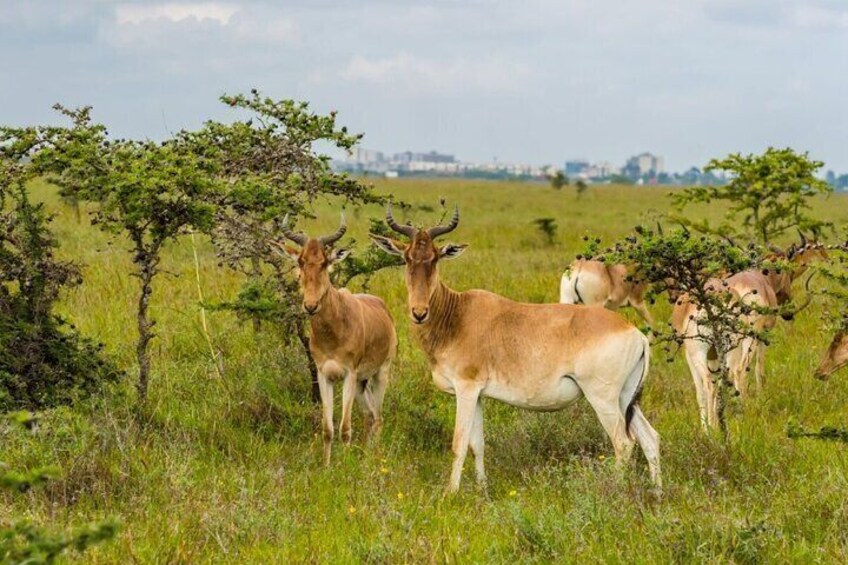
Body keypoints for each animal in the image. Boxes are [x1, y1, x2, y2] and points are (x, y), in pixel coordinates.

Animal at [274, 214, 400, 464]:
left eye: (324, 262)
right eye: (301, 261)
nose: (310, 305)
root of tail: (382, 306)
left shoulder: (348, 375)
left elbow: (345, 428)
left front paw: (345, 466)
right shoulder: (325, 375)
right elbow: (328, 429)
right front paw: (327, 466)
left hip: (381, 373)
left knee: (378, 417)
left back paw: (372, 459)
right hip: (362, 382)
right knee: (369, 415)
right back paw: (365, 458)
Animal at [372, 205, 664, 492]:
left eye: (435, 258)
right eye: (407, 258)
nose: (419, 312)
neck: (458, 314)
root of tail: (635, 333)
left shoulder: (465, 389)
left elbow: (459, 443)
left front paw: (449, 494)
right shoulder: (478, 394)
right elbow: (477, 444)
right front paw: (483, 491)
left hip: (602, 397)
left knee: (623, 443)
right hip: (626, 397)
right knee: (650, 438)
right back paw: (657, 493)